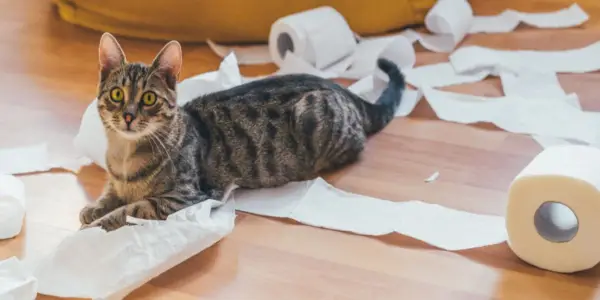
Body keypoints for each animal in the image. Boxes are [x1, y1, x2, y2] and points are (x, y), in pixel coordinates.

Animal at [79, 32, 406, 230]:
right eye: (117, 95)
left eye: (148, 98)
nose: (128, 116)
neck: (124, 155)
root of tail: (343, 89)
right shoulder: (118, 184)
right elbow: (109, 195)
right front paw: (93, 209)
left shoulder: (183, 198)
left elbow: (130, 209)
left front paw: (96, 224)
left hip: (314, 117)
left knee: (358, 146)